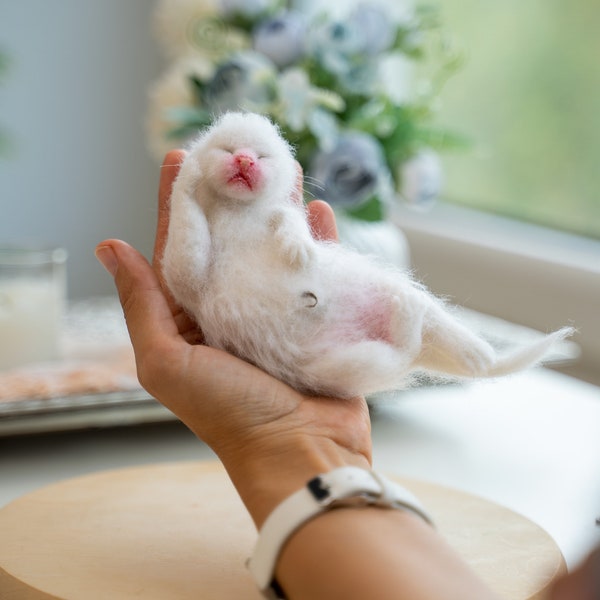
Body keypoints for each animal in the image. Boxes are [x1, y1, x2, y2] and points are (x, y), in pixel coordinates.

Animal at [162, 112, 576, 398]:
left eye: (262, 156)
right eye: (228, 150)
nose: (245, 161)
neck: (239, 211)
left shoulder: (280, 212)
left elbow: (290, 222)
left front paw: (298, 249)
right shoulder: (192, 275)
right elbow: (186, 243)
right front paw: (189, 175)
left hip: (382, 295)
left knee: (437, 332)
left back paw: (467, 348)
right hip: (336, 365)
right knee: (397, 357)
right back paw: (410, 326)